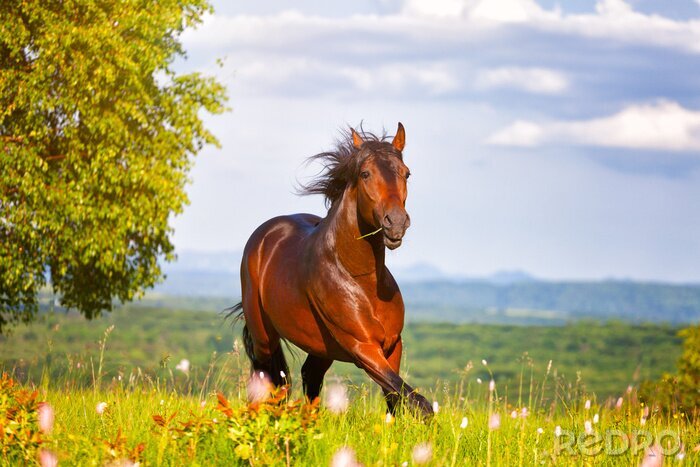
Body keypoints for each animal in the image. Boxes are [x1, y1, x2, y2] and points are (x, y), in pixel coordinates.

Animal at [229, 123, 433, 418]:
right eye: (365, 173)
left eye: (406, 173)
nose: (395, 223)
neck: (361, 279)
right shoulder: (363, 347)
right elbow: (418, 401)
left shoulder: (392, 345)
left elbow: (396, 397)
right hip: (264, 336)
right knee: (268, 378)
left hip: (321, 347)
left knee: (309, 376)